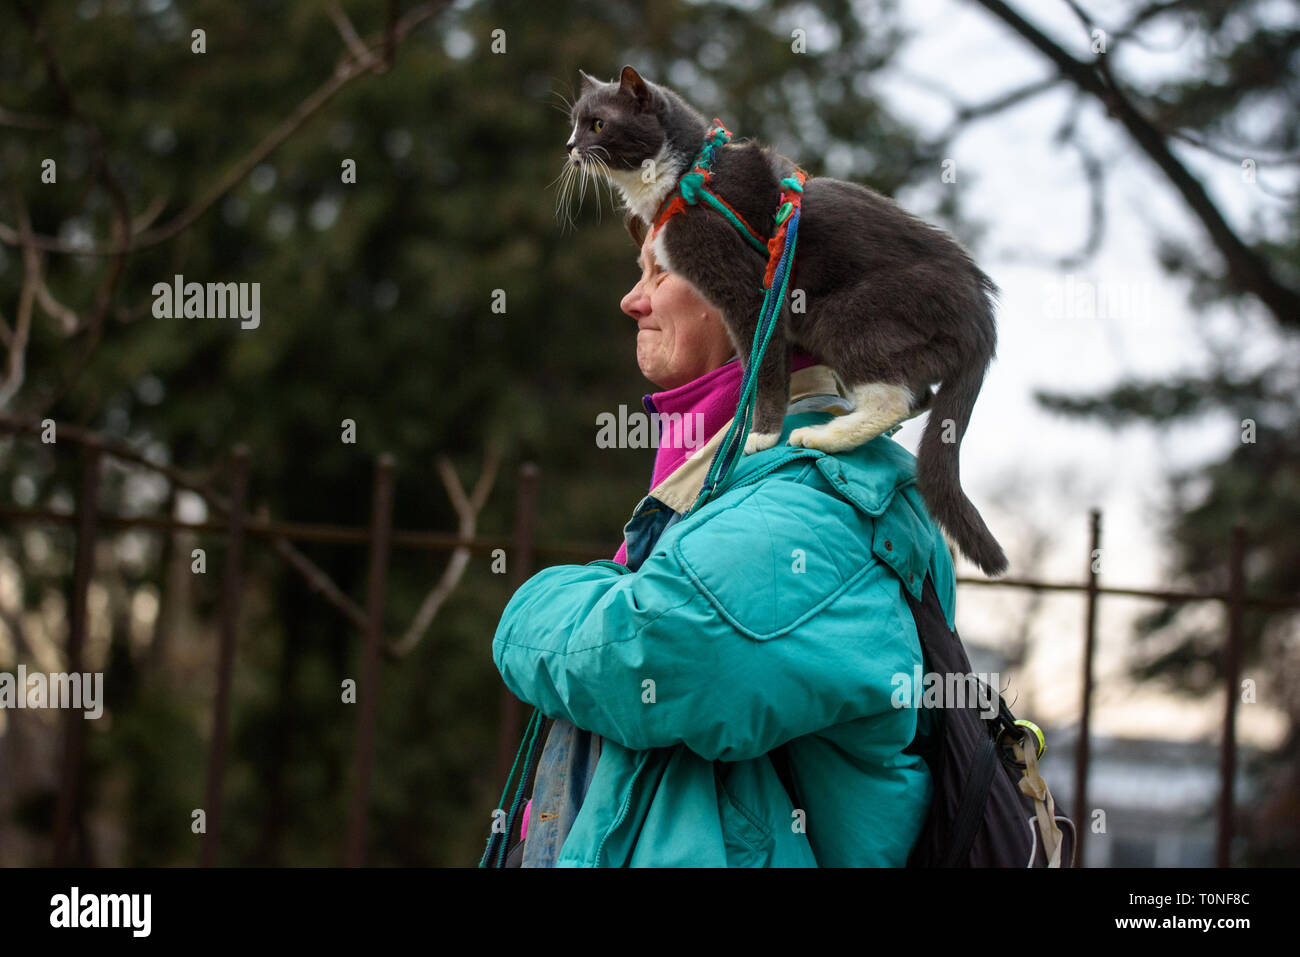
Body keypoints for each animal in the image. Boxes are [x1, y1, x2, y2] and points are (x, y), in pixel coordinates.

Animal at [566, 69, 1003, 574]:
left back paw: (822, 435)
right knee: (921, 395)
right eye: (575, 123)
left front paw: (762, 434)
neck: (690, 172)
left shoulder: (747, 290)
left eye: (598, 124)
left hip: (844, 311)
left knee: (890, 398)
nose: (570, 146)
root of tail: (982, 317)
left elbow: (766, 367)